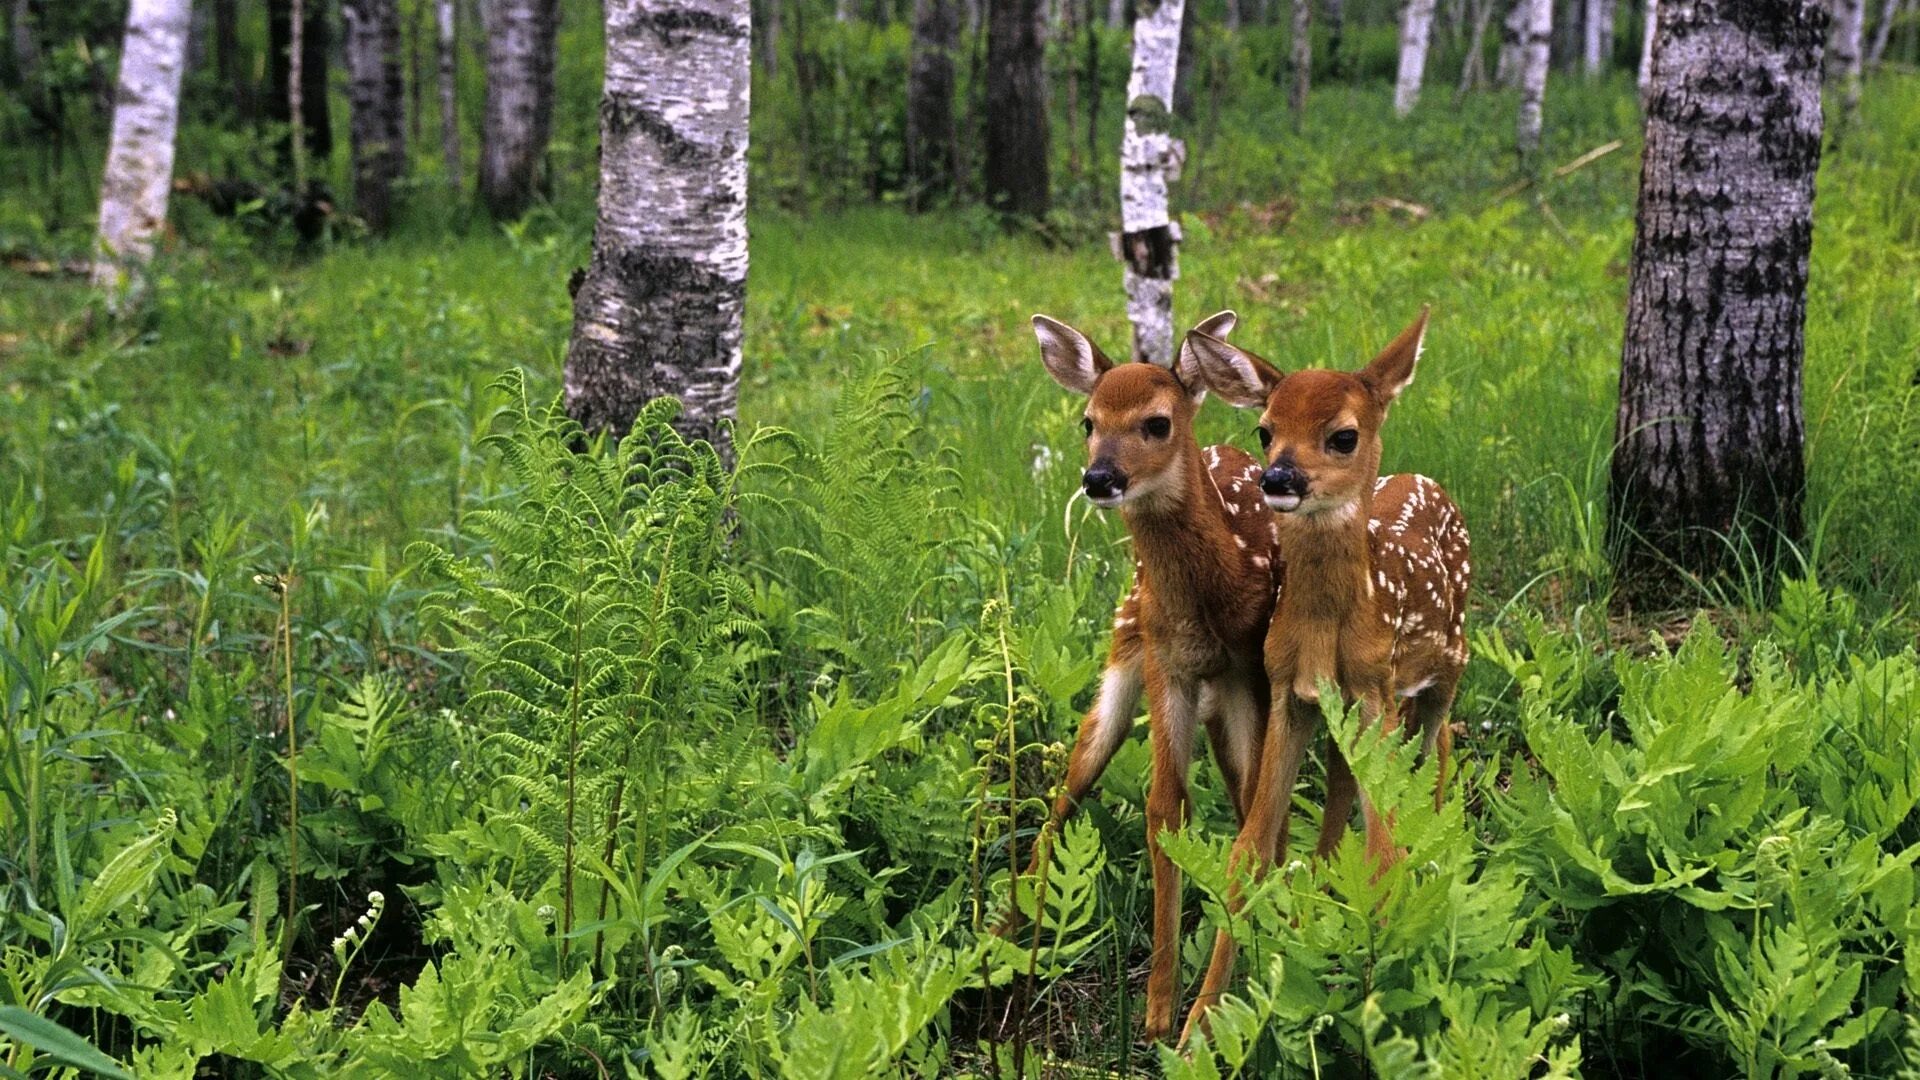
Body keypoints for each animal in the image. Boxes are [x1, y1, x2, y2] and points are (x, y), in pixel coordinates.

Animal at [1167, 305, 1466, 1045]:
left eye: (1343, 435)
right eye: (1265, 428)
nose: (1278, 479)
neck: (1330, 632)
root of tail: (1427, 480)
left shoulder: (1376, 687)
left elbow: (1384, 851)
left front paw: (1383, 1005)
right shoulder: (1290, 696)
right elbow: (1249, 850)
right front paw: (1197, 1028)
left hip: (1449, 664)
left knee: (1440, 742)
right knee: (1348, 786)